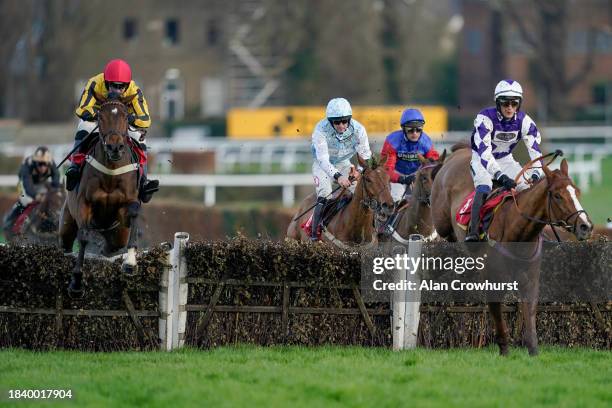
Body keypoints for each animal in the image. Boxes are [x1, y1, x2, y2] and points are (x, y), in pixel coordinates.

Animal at [59, 93, 141, 296]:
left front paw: (130, 263)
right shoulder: (84, 204)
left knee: (109, 249)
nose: (115, 147)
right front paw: (76, 282)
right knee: (66, 244)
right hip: (66, 225)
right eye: (101, 117)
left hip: (117, 236)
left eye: (125, 117)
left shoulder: (127, 204)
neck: (111, 171)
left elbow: (134, 212)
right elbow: (84, 236)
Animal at [430, 145, 592, 356]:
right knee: (447, 234)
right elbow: (498, 316)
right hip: (442, 222)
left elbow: (529, 315)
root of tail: (458, 153)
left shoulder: (530, 279)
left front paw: (533, 351)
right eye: (557, 195)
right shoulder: (493, 279)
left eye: (577, 192)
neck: (518, 232)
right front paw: (504, 350)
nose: (585, 226)